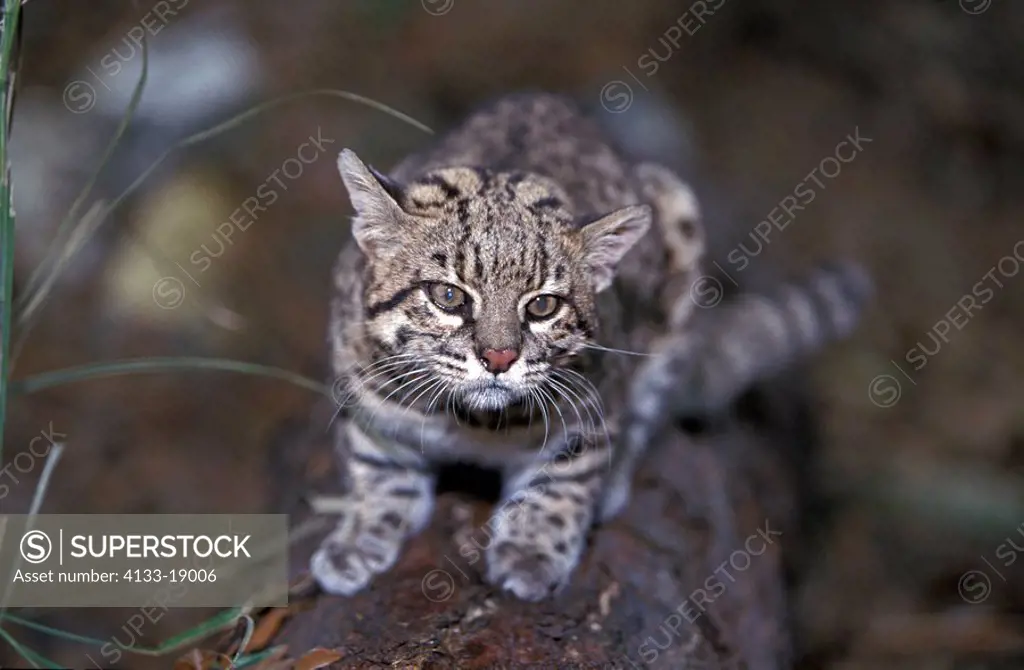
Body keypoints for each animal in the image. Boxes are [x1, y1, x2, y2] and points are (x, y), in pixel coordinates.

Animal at [311, 91, 872, 602]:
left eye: (542, 306)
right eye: (448, 296)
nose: (499, 358)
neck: (473, 422)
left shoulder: (592, 406)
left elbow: (563, 479)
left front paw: (531, 551)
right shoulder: (362, 393)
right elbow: (378, 468)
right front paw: (358, 537)